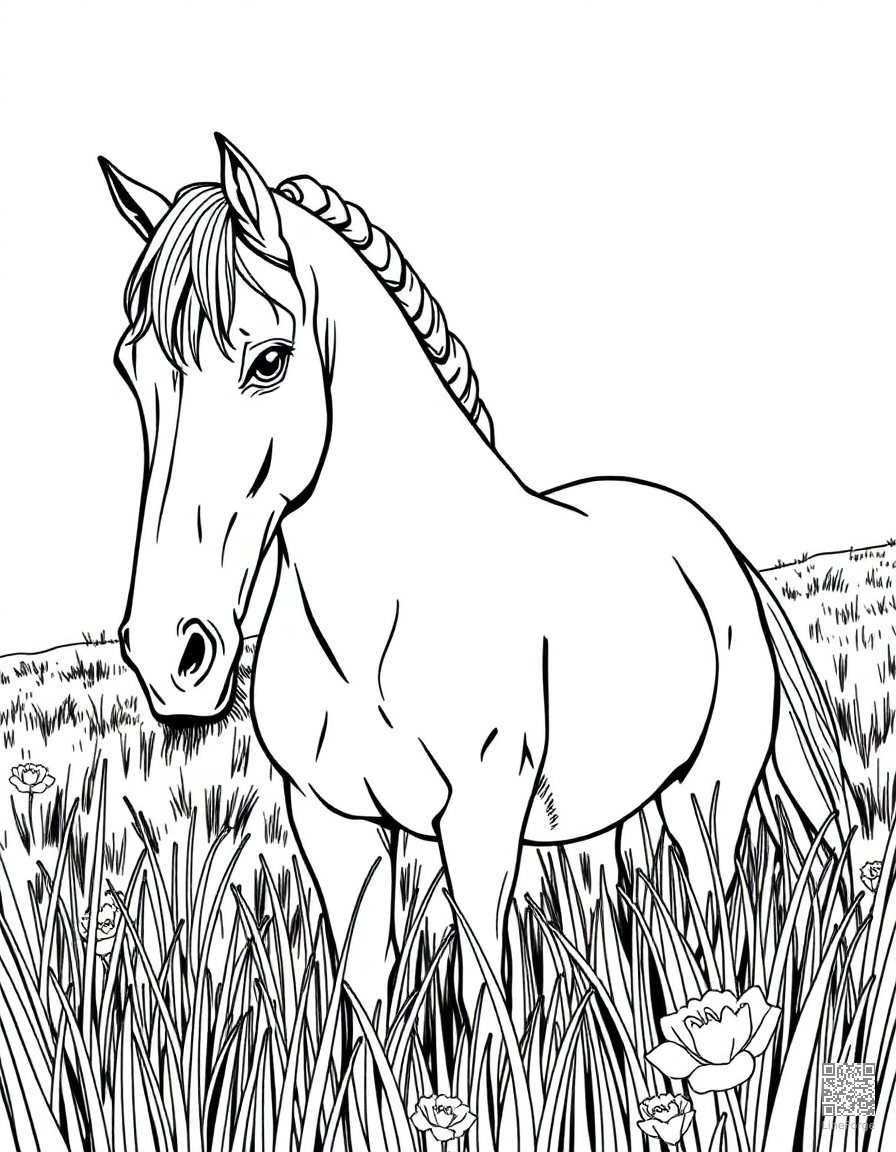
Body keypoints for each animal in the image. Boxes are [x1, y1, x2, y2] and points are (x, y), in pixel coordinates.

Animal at [99, 134, 852, 1019]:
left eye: (269, 361)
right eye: (130, 368)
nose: (169, 655)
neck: (376, 625)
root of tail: (716, 547)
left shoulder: (481, 824)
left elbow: (488, 999)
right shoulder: (334, 828)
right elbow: (364, 1004)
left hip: (709, 796)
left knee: (711, 904)